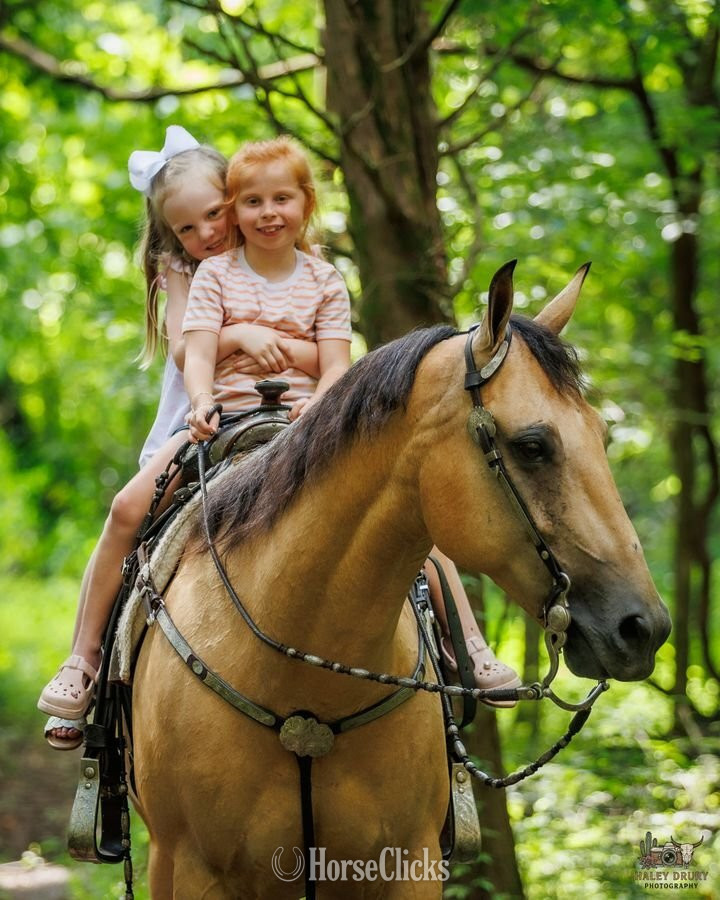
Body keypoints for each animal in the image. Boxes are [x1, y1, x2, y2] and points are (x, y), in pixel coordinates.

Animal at [130, 261, 671, 899]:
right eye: (533, 446)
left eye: (601, 436)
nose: (644, 628)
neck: (303, 688)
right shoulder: (197, 869)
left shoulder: (408, 862)